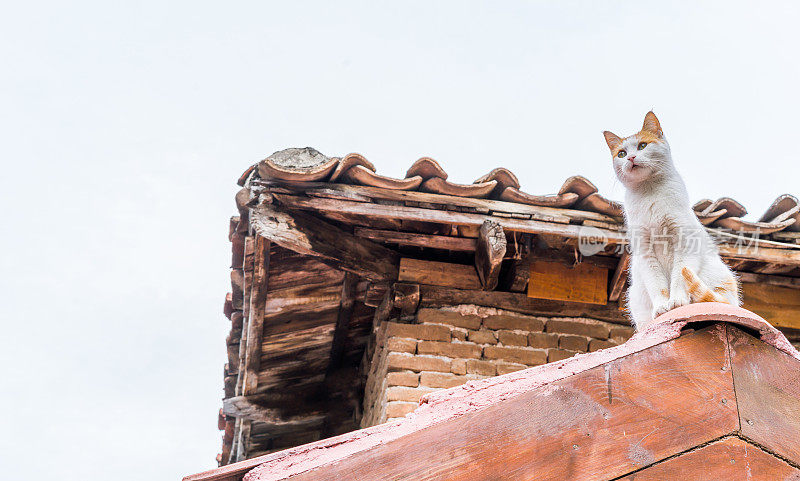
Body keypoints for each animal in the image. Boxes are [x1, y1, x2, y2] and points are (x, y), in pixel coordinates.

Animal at [604, 112, 740, 330]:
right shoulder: (645, 252)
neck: (649, 192)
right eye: (622, 153)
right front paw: (662, 307)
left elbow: (678, 277)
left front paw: (677, 302)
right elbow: (657, 284)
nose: (631, 157)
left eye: (643, 145)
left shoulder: (684, 243)